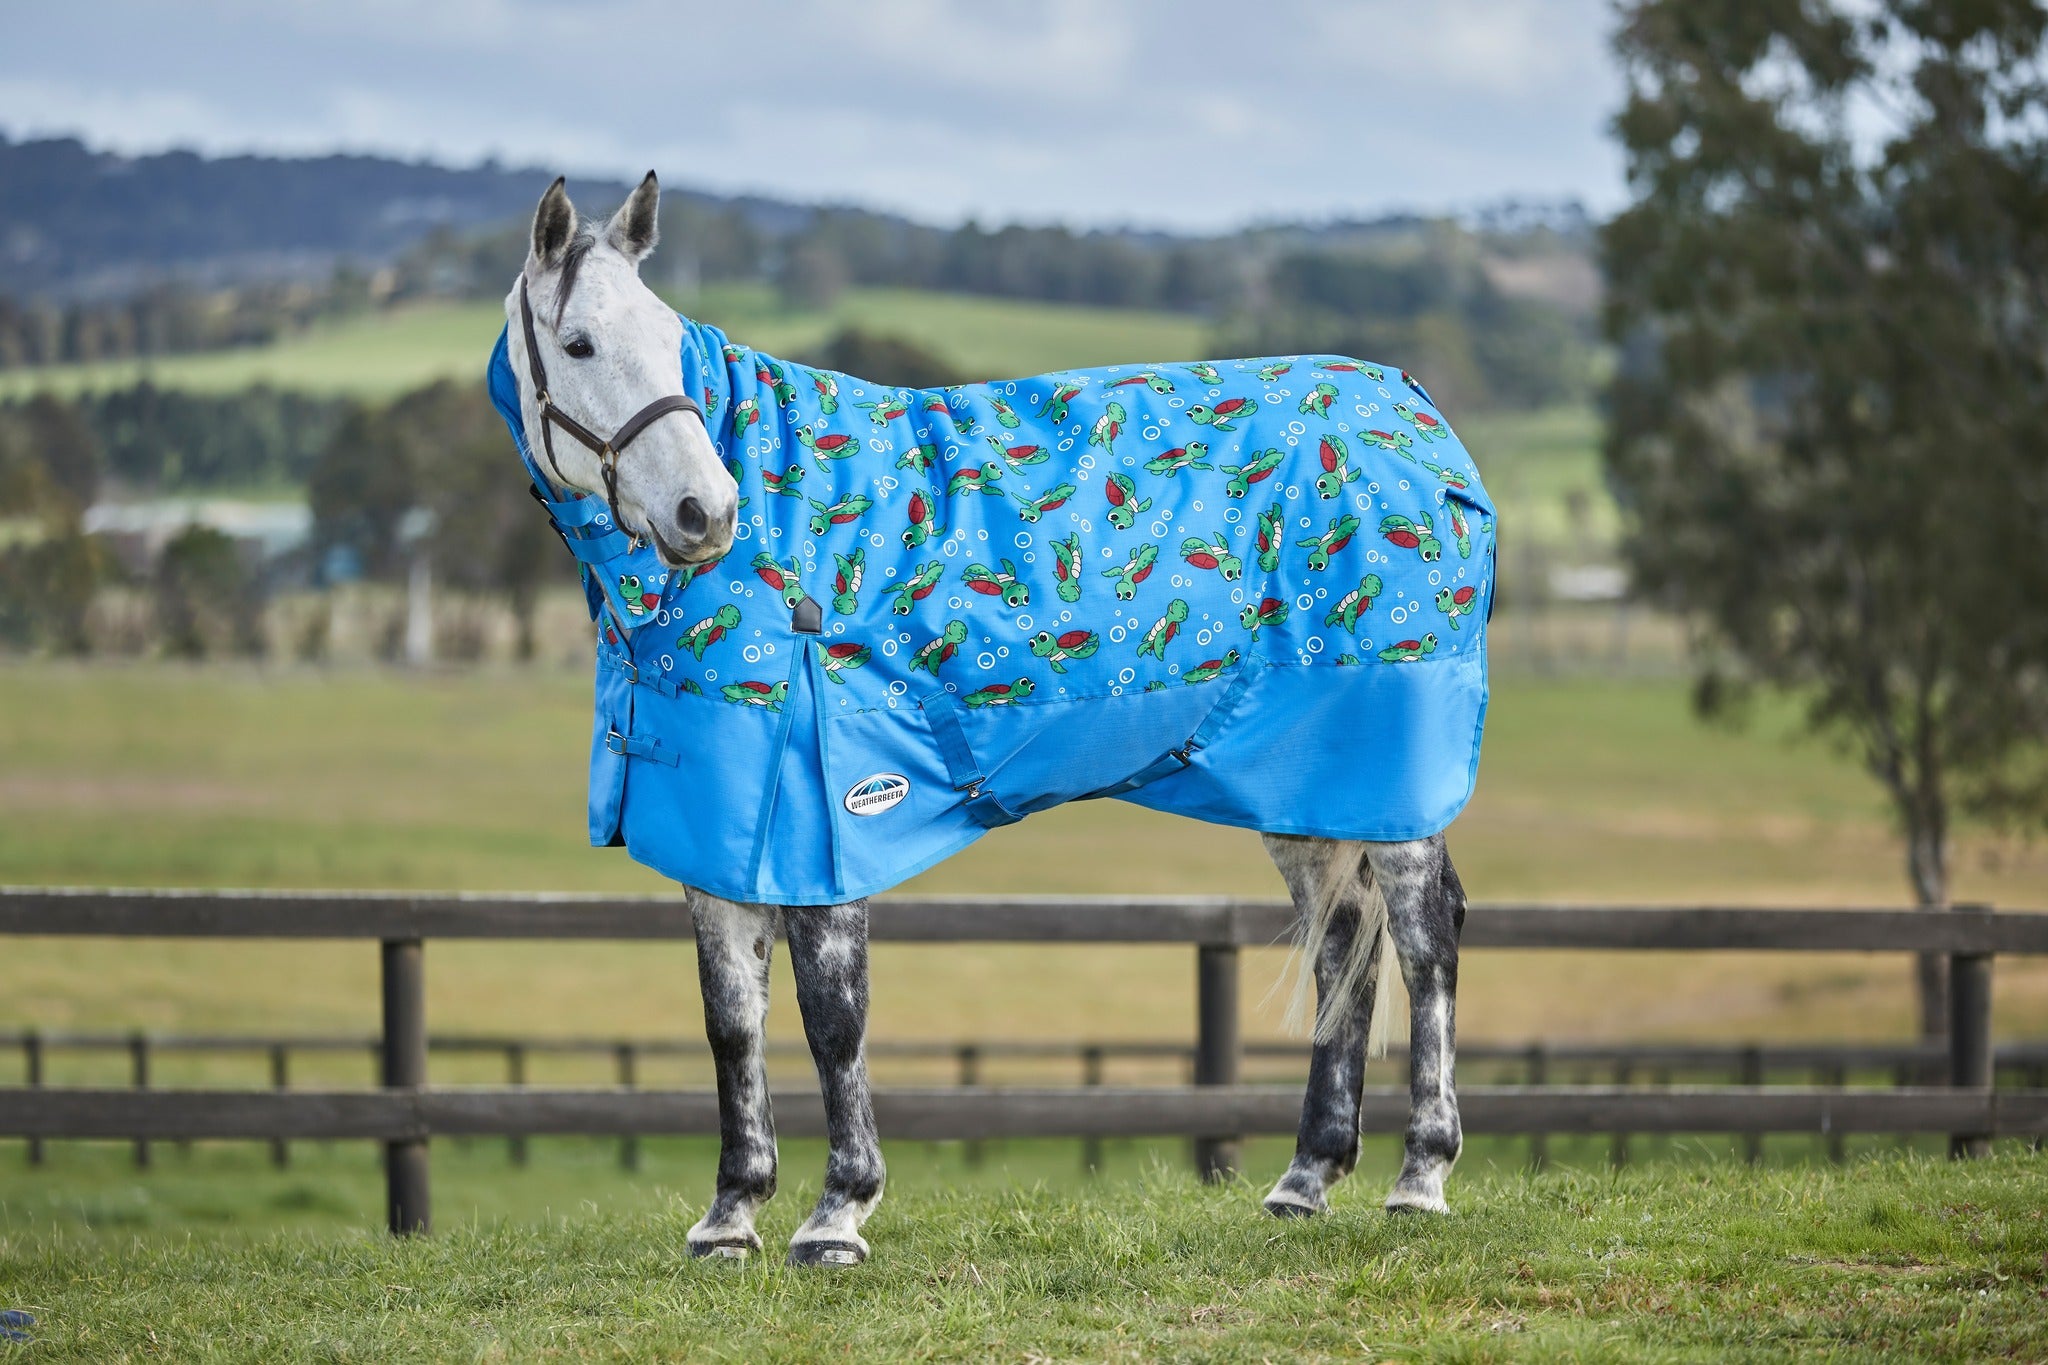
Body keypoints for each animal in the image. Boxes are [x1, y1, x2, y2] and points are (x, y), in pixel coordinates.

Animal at [488, 174, 1492, 1267]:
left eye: (672, 343)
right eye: (581, 344)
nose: (703, 512)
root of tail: (1417, 418)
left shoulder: (827, 810)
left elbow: (832, 1014)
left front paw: (837, 1214)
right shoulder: (716, 820)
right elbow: (731, 1020)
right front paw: (729, 1215)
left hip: (1393, 761)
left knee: (1424, 937)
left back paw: (1420, 1177)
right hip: (1305, 779)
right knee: (1340, 940)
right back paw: (1305, 1178)